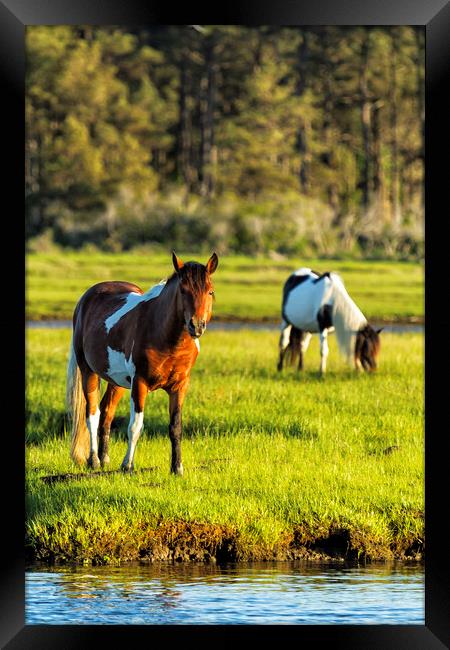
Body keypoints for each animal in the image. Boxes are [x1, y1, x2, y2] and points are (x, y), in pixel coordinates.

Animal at [66, 251, 218, 474]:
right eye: (183, 290)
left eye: (210, 291)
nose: (197, 326)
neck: (165, 337)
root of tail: (87, 297)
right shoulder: (140, 383)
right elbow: (135, 426)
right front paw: (128, 465)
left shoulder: (180, 386)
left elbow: (176, 427)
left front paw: (177, 468)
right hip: (89, 372)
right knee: (93, 413)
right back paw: (94, 460)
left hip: (117, 382)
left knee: (106, 413)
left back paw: (104, 458)